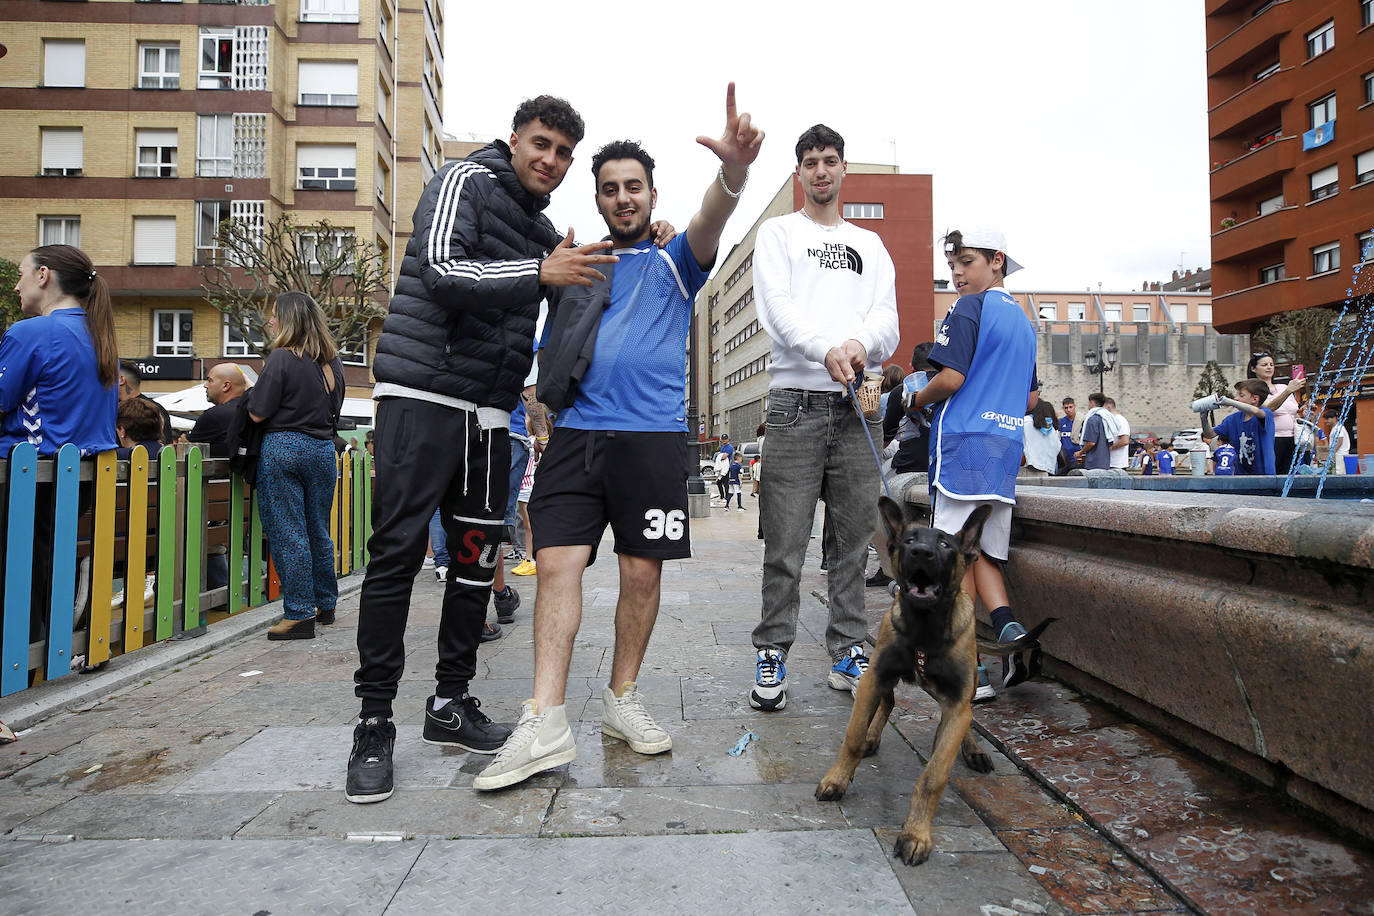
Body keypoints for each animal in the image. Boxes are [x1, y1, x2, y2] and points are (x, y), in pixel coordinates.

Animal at [813, 497, 1000, 862]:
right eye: (909, 540)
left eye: (945, 544)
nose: (921, 553)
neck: (924, 630)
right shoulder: (874, 677)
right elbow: (852, 737)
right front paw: (837, 779)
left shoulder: (956, 699)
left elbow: (934, 775)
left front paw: (916, 834)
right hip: (880, 677)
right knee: (888, 702)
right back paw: (873, 735)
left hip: (964, 689)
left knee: (965, 718)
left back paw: (971, 749)